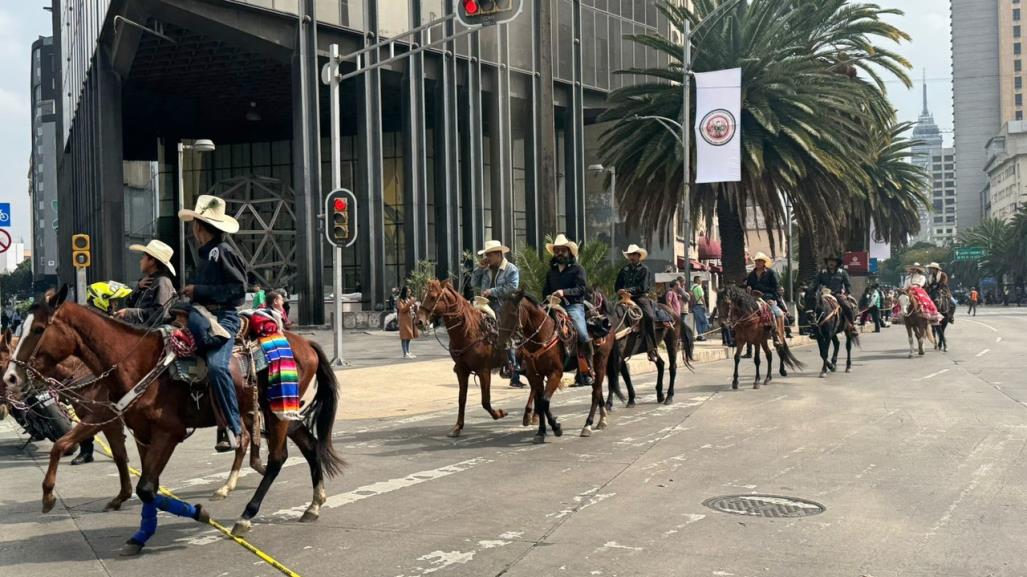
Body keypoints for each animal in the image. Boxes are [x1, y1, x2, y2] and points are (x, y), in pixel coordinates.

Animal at [4, 287, 343, 554]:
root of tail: (305, 344)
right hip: (284, 412)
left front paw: (197, 514)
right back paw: (313, 504)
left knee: (277, 458)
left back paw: (246, 515)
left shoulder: (167, 432)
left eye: (39, 329)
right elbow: (138, 478)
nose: (11, 377)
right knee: (309, 446)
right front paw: (138, 533)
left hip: (275, 412)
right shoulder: (137, 430)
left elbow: (145, 487)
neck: (134, 362)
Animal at [416, 279, 509, 435]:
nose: (419, 322)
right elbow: (461, 399)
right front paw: (458, 426)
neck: (470, 332)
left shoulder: (484, 371)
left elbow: (485, 401)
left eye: (433, 297)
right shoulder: (462, 370)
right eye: (422, 295)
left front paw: (499, 413)